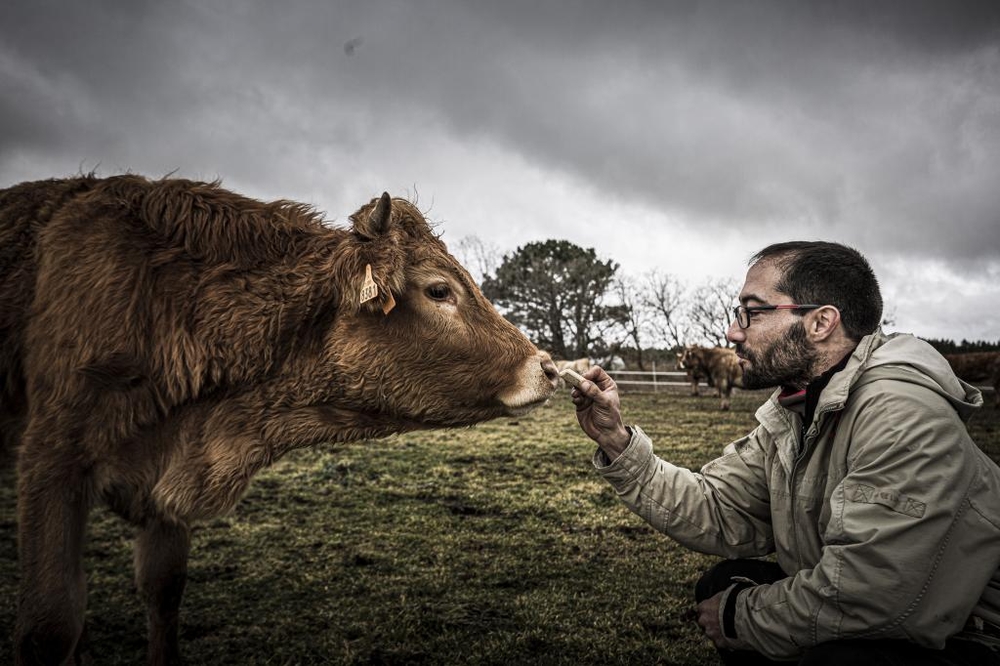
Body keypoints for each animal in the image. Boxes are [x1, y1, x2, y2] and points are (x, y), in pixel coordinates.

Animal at [0, 174, 564, 660]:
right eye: (439, 289)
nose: (547, 367)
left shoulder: (168, 484)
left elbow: (163, 593)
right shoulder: (52, 465)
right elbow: (52, 625)